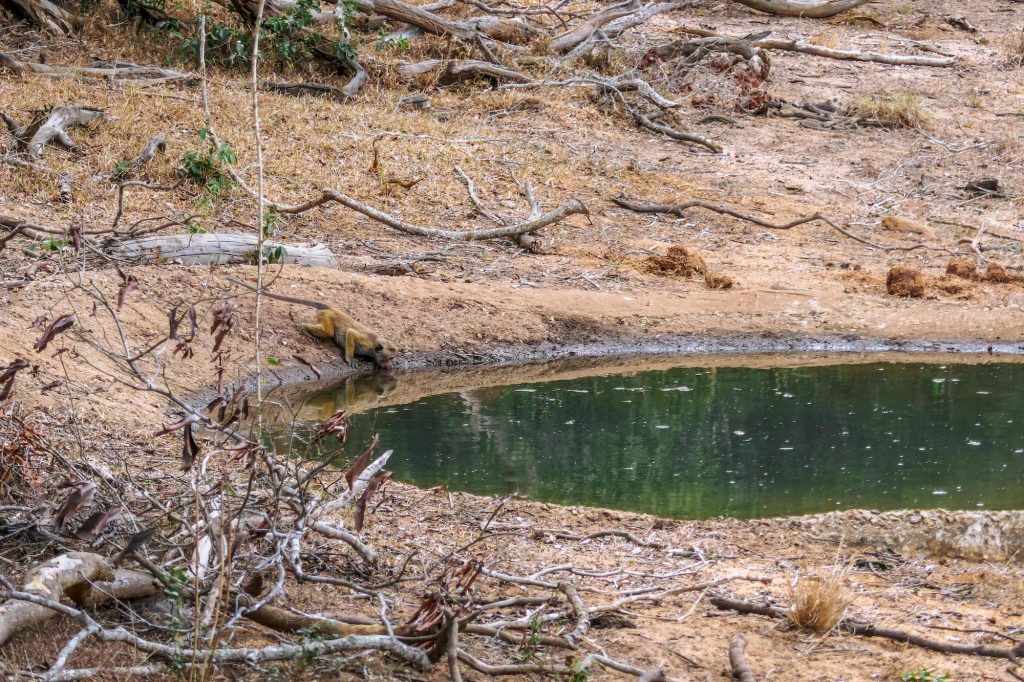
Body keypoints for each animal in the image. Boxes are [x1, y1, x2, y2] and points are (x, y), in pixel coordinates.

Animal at [226, 277, 396, 370]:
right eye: (390, 358)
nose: (390, 364)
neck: (374, 348)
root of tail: (331, 308)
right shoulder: (366, 343)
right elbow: (350, 333)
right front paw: (350, 359)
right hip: (326, 316)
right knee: (328, 331)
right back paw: (304, 328)